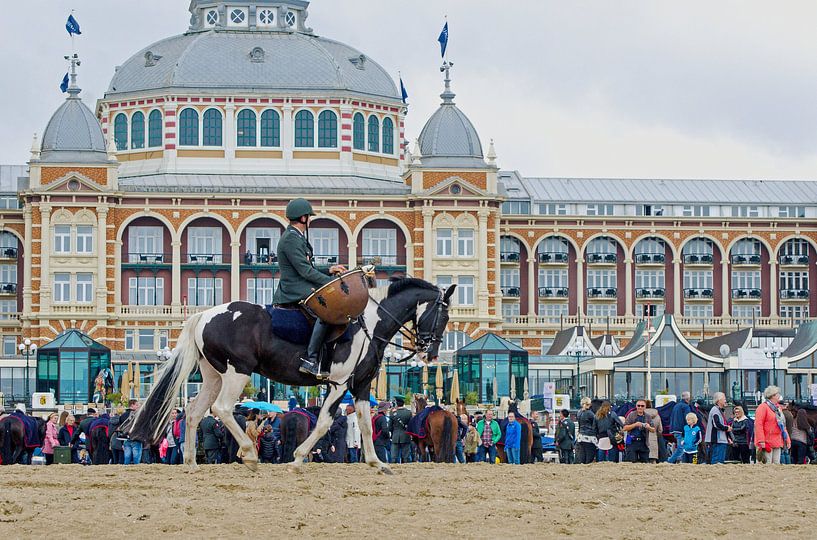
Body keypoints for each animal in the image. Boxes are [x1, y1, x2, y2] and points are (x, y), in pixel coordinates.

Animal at [131, 278, 456, 472]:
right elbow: (324, 423)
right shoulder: (338, 385)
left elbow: (364, 424)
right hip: (237, 373)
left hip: (214, 375)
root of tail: (204, 315)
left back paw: (190, 463)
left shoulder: (361, 386)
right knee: (221, 409)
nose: (431, 353)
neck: (369, 325)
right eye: (443, 315)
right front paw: (298, 459)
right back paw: (249, 455)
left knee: (195, 412)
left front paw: (377, 463)